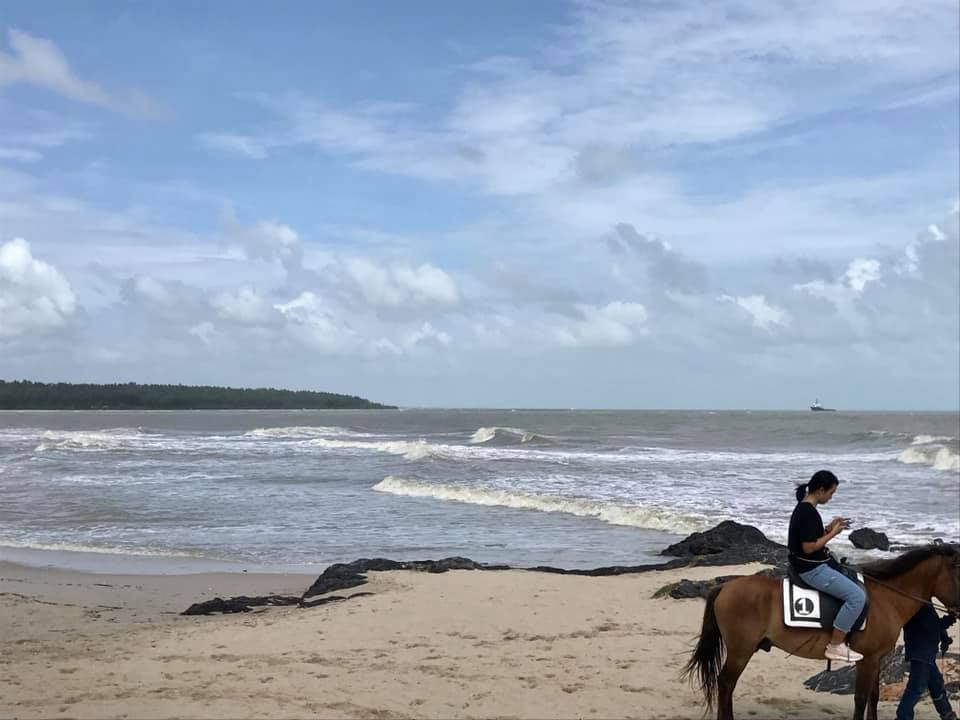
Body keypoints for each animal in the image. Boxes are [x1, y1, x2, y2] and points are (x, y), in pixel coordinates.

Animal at [684, 544, 960, 716]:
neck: (886, 598)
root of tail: (725, 587)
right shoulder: (868, 660)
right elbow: (861, 699)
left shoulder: (875, 659)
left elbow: (873, 697)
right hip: (741, 651)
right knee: (725, 684)